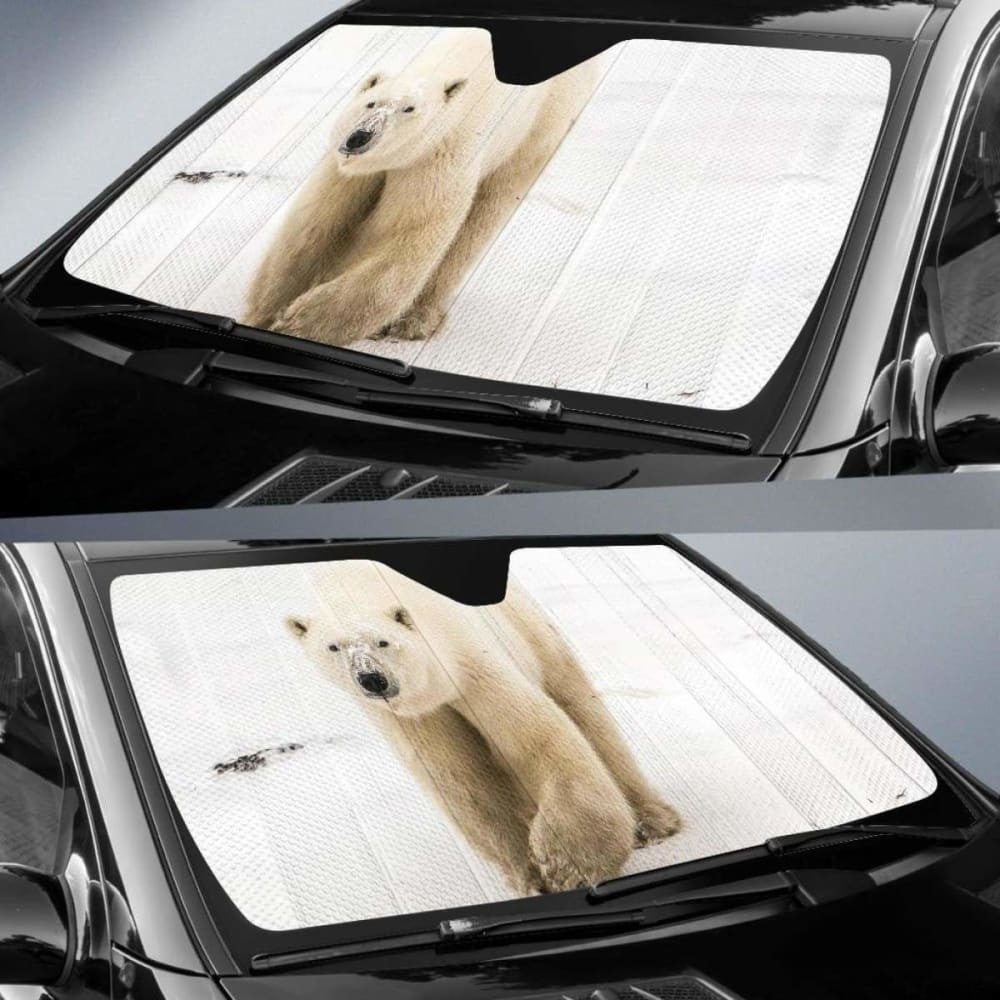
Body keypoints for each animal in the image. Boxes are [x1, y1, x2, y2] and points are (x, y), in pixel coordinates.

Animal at [243, 28, 600, 347]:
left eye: (409, 109)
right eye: (371, 103)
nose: (360, 138)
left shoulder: (435, 161)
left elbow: (405, 242)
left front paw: (299, 322)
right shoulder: (348, 169)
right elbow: (313, 225)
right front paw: (265, 311)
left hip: (538, 130)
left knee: (481, 219)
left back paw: (414, 321)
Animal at [285, 561, 680, 896]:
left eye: (382, 640)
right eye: (333, 647)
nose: (371, 679)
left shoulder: (469, 659)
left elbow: (537, 739)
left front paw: (565, 865)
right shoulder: (413, 718)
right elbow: (464, 780)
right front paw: (528, 875)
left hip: (528, 629)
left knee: (581, 707)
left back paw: (652, 821)